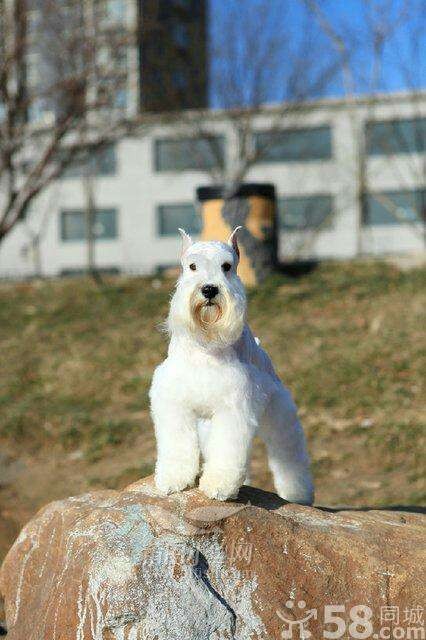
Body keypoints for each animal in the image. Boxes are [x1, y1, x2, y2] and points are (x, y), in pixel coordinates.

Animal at [149, 228, 312, 502]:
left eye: (227, 266)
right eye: (192, 266)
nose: (209, 290)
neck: (206, 346)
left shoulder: (234, 408)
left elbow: (228, 449)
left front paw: (219, 485)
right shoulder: (174, 404)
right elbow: (177, 445)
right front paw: (173, 478)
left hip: (279, 417)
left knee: (290, 455)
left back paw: (298, 494)